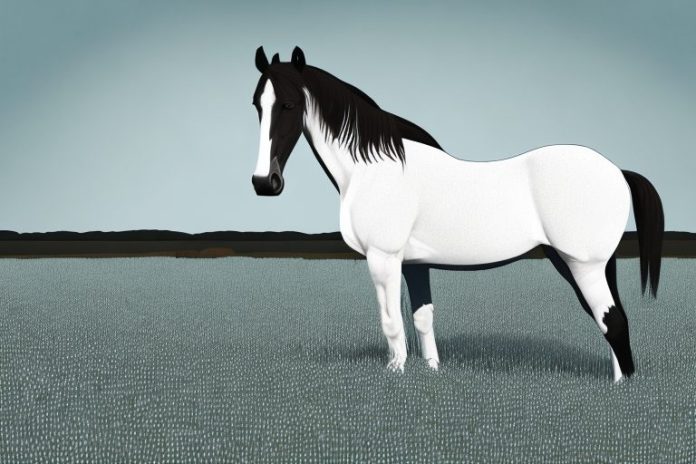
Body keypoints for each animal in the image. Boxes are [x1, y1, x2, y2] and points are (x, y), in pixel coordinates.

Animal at [250, 46, 664, 383]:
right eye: (257, 104)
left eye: (288, 104)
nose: (264, 182)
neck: (373, 169)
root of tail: (618, 171)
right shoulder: (414, 264)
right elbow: (421, 318)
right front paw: (432, 370)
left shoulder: (383, 259)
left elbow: (391, 323)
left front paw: (395, 372)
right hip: (588, 264)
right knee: (610, 319)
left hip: (583, 264)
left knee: (613, 322)